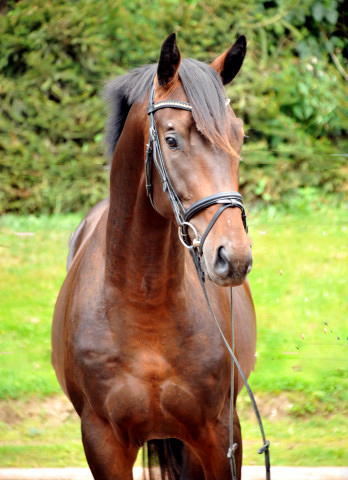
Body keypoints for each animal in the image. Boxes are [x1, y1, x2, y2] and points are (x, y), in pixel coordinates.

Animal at [52, 33, 258, 480]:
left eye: (239, 137)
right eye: (172, 139)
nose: (233, 258)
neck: (143, 302)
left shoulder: (220, 435)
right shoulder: (102, 443)